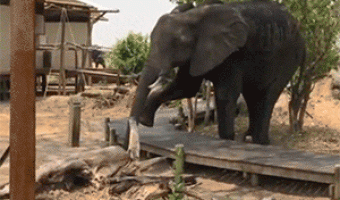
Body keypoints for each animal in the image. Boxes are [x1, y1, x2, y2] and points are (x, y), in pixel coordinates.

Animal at [127, 0, 306, 145]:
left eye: (178, 43)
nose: (140, 124)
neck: (193, 16)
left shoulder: (233, 54)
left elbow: (225, 94)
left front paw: (227, 139)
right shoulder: (197, 53)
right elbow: (185, 87)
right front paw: (145, 119)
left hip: (289, 57)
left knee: (268, 95)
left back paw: (260, 141)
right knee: (252, 96)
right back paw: (248, 138)